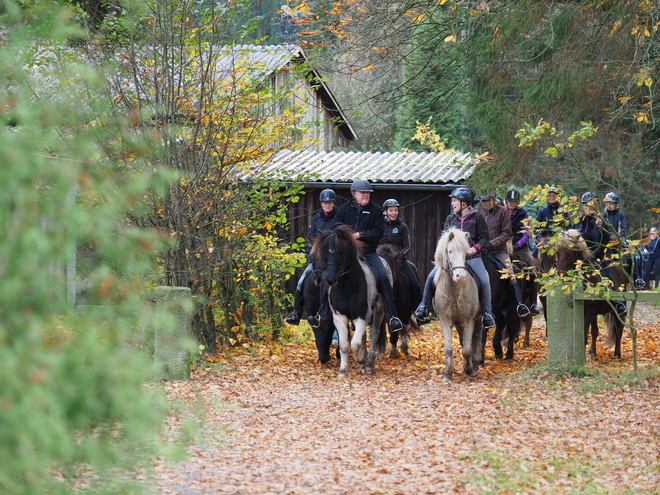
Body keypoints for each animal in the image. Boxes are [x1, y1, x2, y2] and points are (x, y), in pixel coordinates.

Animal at [312, 225, 390, 380]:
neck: (347, 285)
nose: (330, 280)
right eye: (325, 253)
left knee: (373, 333)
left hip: (379, 310)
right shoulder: (339, 317)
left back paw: (369, 364)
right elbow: (344, 344)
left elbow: (355, 343)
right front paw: (343, 371)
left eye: (340, 253)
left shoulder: (362, 315)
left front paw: (361, 359)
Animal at [430, 229, 482, 384]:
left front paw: (469, 369)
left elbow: (467, 349)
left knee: (475, 340)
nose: (460, 276)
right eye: (450, 251)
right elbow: (449, 348)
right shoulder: (445, 320)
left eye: (466, 252)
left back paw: (474, 365)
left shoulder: (469, 320)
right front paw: (447, 374)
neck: (453, 291)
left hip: (478, 319)